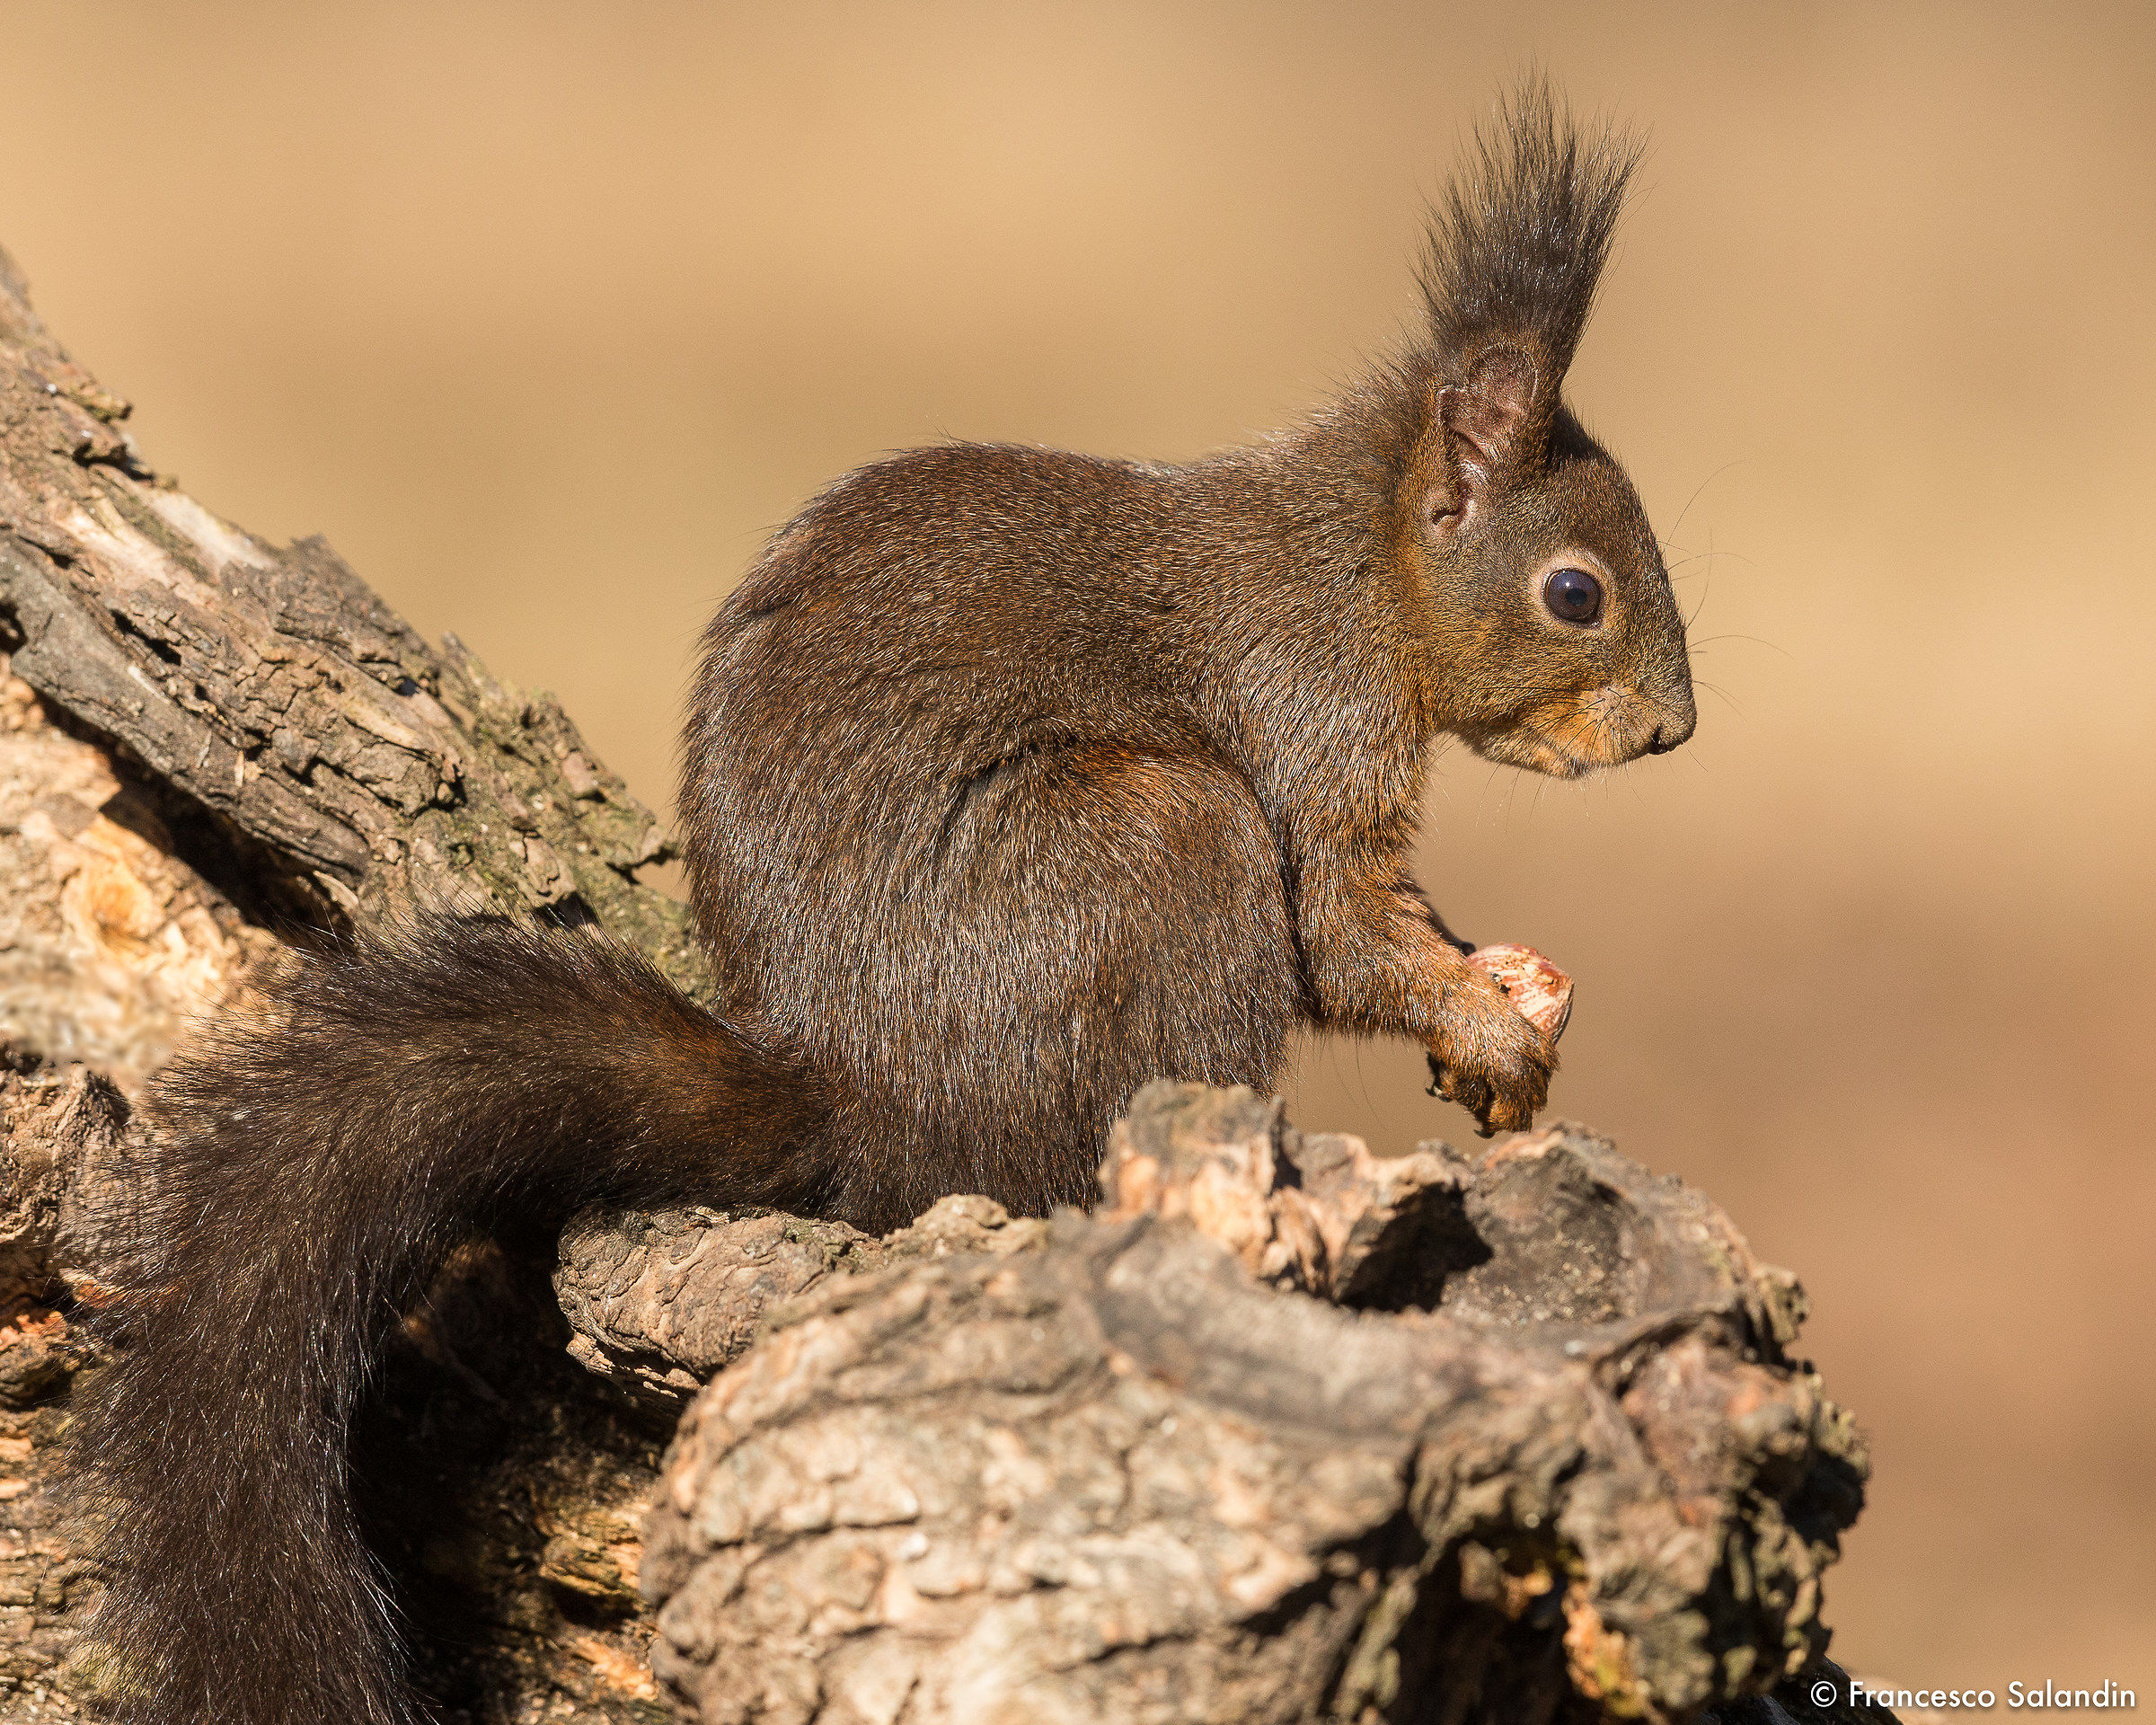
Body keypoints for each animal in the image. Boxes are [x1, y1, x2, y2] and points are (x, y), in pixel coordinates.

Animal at [72, 85, 1693, 1725]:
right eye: (1575, 593)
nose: (1674, 733)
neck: (1359, 567)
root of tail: (863, 1097)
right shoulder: (1307, 724)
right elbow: (1345, 942)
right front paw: (1483, 1026)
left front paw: (1507, 993)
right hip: (1164, 844)